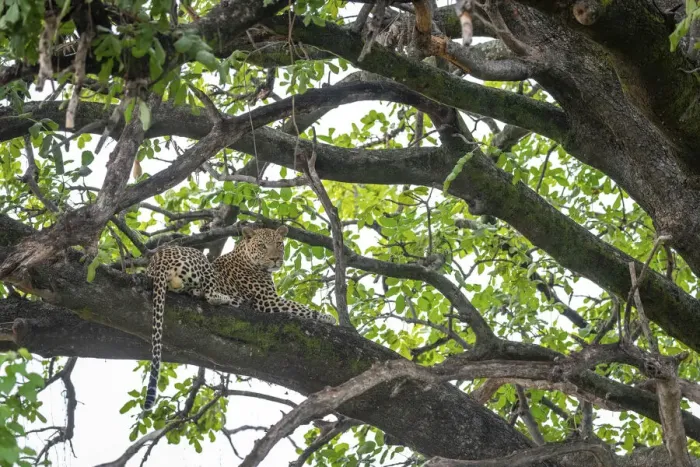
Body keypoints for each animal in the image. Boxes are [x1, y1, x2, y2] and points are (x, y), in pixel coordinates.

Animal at [142, 224, 335, 411]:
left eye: (279, 244)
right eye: (262, 246)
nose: (275, 259)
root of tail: (157, 261)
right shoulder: (267, 301)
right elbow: (301, 308)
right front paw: (327, 317)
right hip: (199, 257)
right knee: (211, 294)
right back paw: (227, 299)